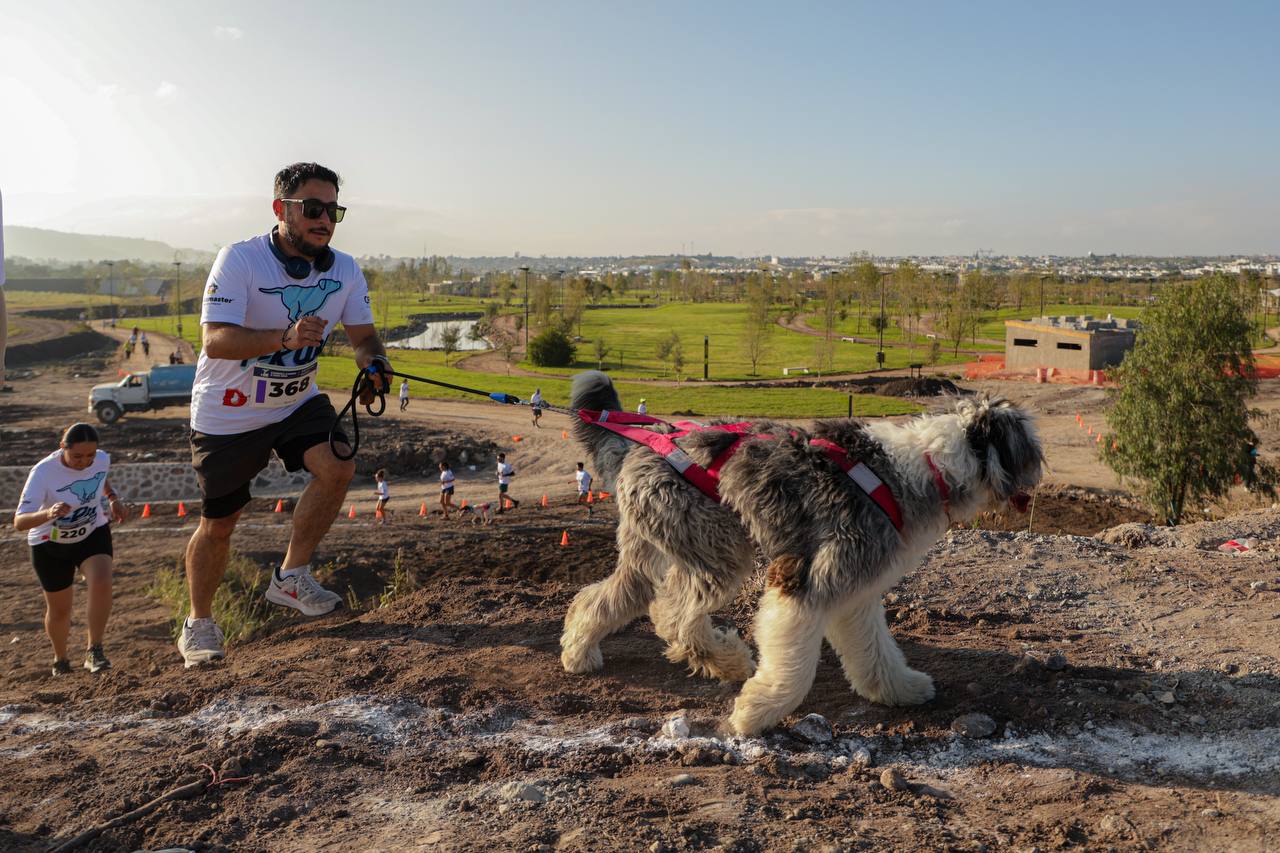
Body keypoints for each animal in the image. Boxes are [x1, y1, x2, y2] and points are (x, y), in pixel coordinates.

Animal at [560, 368, 1039, 732]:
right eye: (1030, 450)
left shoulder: (857, 591)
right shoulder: (805, 582)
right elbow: (793, 665)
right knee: (671, 615)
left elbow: (874, 649)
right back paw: (728, 660)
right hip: (717, 545)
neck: (927, 466)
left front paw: (899, 689)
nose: (1036, 478)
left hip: (657, 548)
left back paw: (579, 652)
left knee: (606, 599)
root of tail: (647, 442)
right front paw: (756, 713)